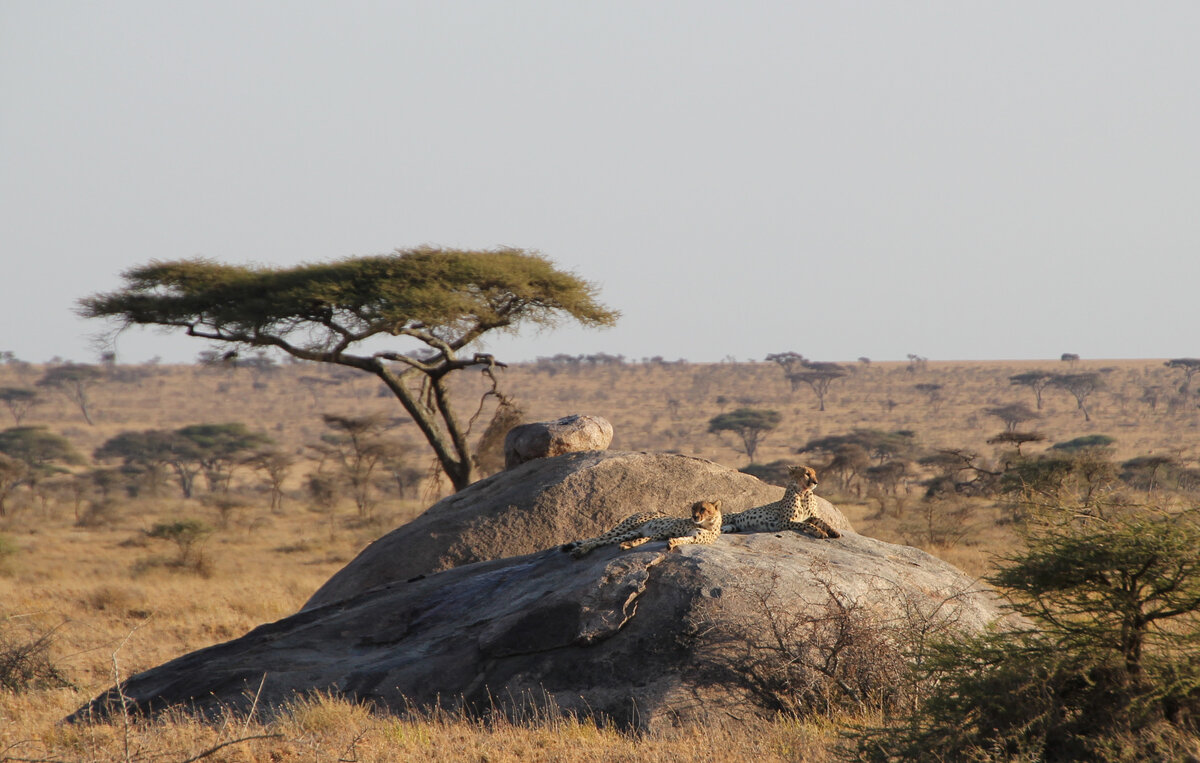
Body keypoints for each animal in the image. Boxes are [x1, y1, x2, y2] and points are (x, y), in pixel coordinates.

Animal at [561, 496, 720, 556]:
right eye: (693, 509)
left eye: (703, 509)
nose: (694, 516)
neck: (707, 525)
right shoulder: (665, 531)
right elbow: (647, 539)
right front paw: (630, 544)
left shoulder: (693, 538)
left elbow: (683, 540)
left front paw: (672, 543)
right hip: (626, 526)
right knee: (596, 538)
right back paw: (580, 548)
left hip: (630, 532)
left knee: (604, 541)